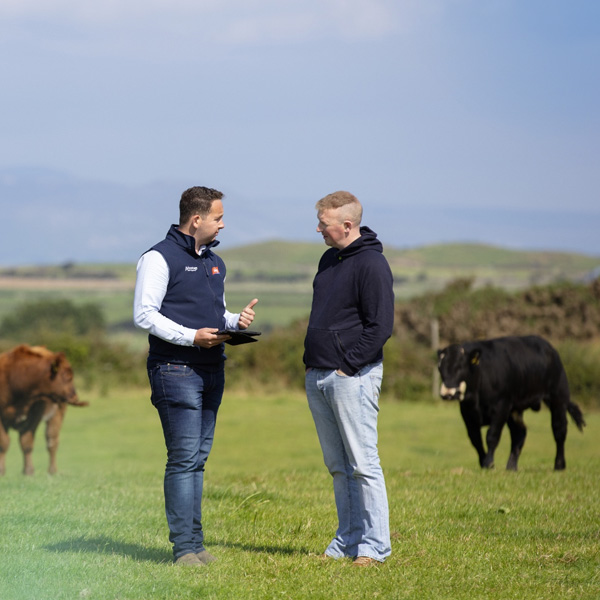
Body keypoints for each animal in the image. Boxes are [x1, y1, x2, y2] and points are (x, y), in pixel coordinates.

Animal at [0, 344, 88, 476]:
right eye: (67, 376)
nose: (74, 396)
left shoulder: (34, 416)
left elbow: (26, 441)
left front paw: (29, 471)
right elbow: (4, 443)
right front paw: (2, 471)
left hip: (57, 415)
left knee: (52, 441)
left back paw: (52, 470)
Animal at [436, 336, 584, 472]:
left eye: (460, 367)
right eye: (440, 369)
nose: (447, 392)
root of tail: (549, 347)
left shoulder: (501, 407)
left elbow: (492, 436)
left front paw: (489, 463)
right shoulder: (467, 412)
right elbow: (476, 439)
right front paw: (484, 462)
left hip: (558, 398)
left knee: (559, 430)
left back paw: (559, 465)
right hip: (515, 410)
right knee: (519, 433)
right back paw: (511, 467)